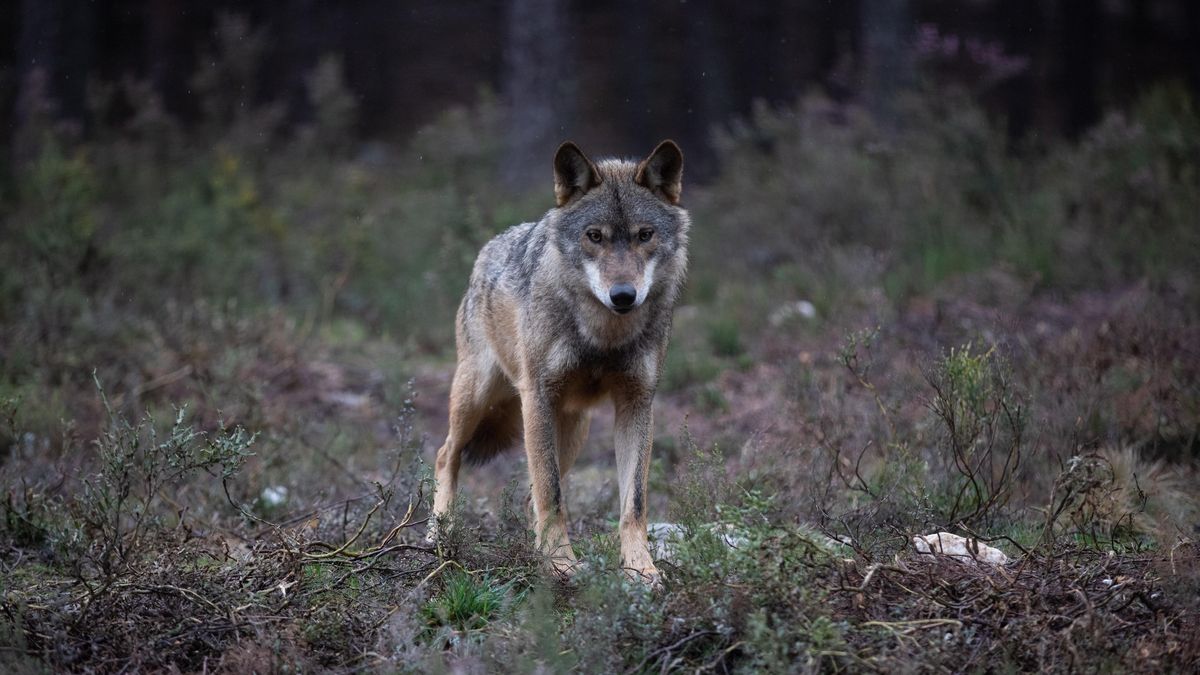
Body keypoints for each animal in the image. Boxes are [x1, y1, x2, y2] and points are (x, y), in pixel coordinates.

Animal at [429, 139, 696, 581]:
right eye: (594, 236)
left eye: (645, 235)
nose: (624, 295)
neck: (603, 335)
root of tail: (490, 248)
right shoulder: (536, 397)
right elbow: (551, 495)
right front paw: (560, 564)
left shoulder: (637, 403)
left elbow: (634, 503)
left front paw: (641, 569)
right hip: (479, 398)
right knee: (446, 454)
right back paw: (440, 533)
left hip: (574, 428)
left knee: (527, 498)